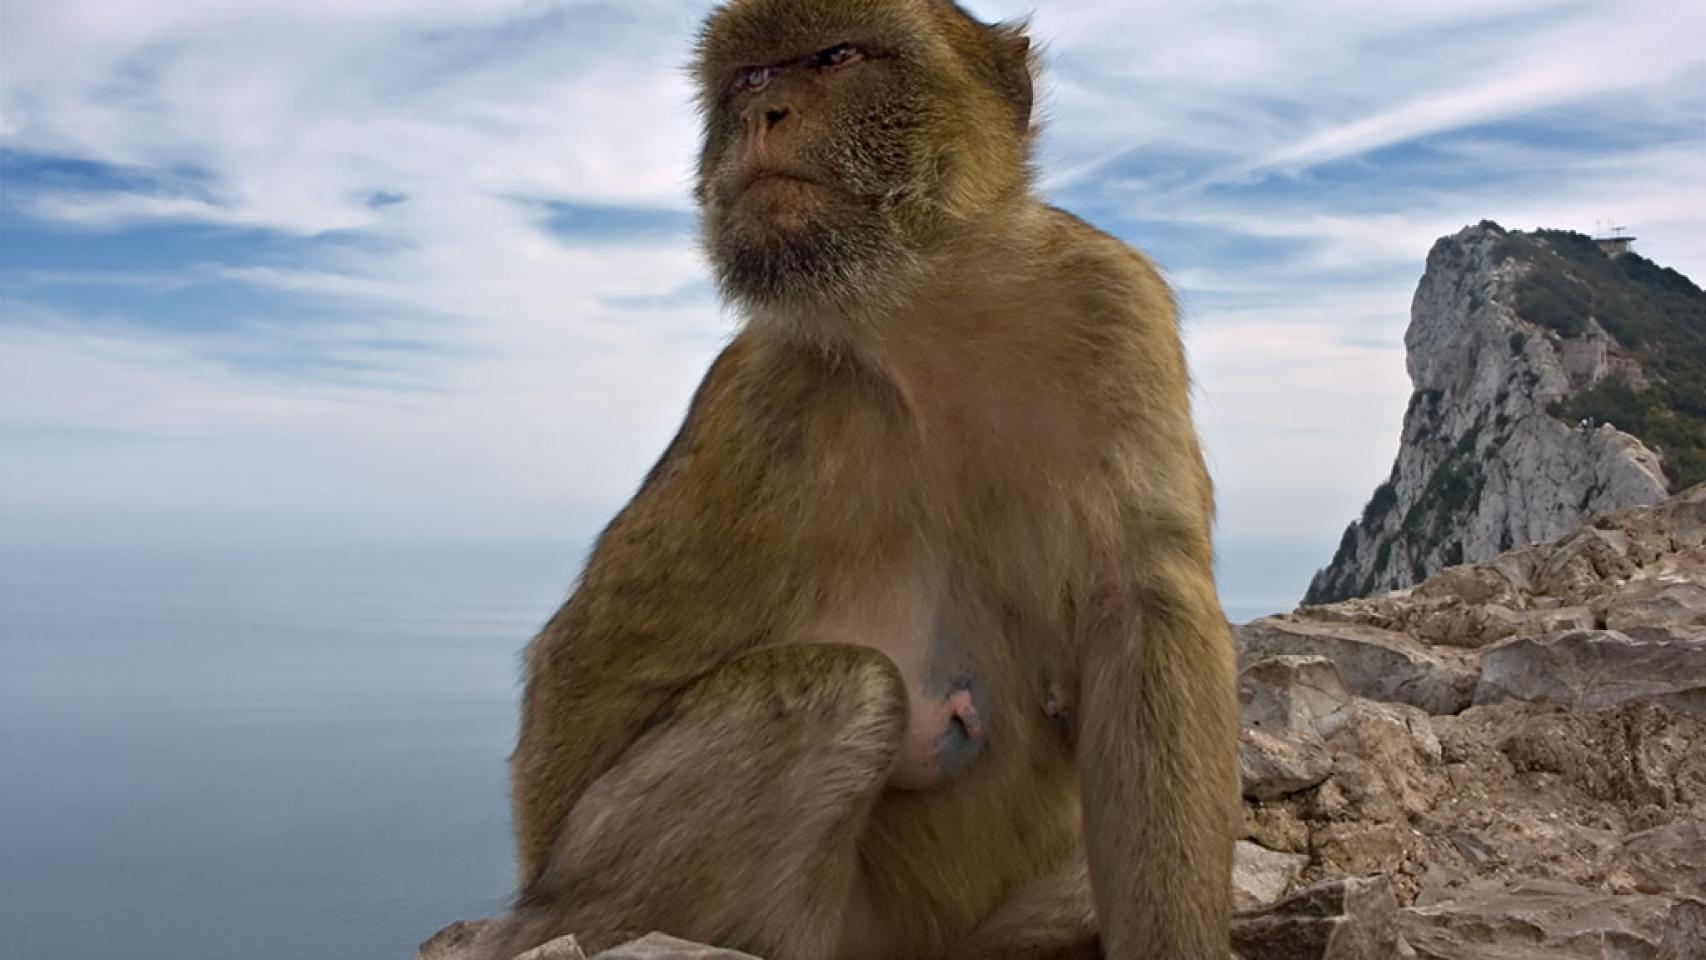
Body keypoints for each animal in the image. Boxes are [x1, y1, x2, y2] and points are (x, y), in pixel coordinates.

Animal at [477, 2, 1239, 958]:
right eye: (751, 77)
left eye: (837, 57)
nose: (763, 112)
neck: (925, 319)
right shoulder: (760, 400)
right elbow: (585, 664)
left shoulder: (1112, 307)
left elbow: (1143, 612)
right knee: (848, 688)